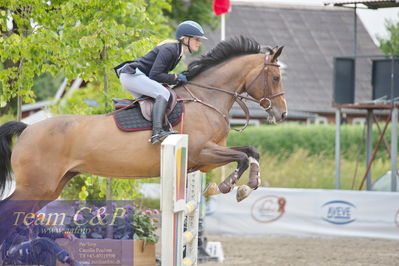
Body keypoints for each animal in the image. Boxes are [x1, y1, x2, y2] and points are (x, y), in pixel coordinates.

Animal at [0, 35, 288, 243]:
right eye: (275, 77)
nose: (282, 113)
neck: (207, 99)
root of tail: (27, 128)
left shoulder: (206, 160)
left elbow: (251, 151)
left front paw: (247, 185)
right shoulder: (202, 152)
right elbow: (242, 156)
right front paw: (229, 186)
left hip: (50, 187)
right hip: (35, 186)